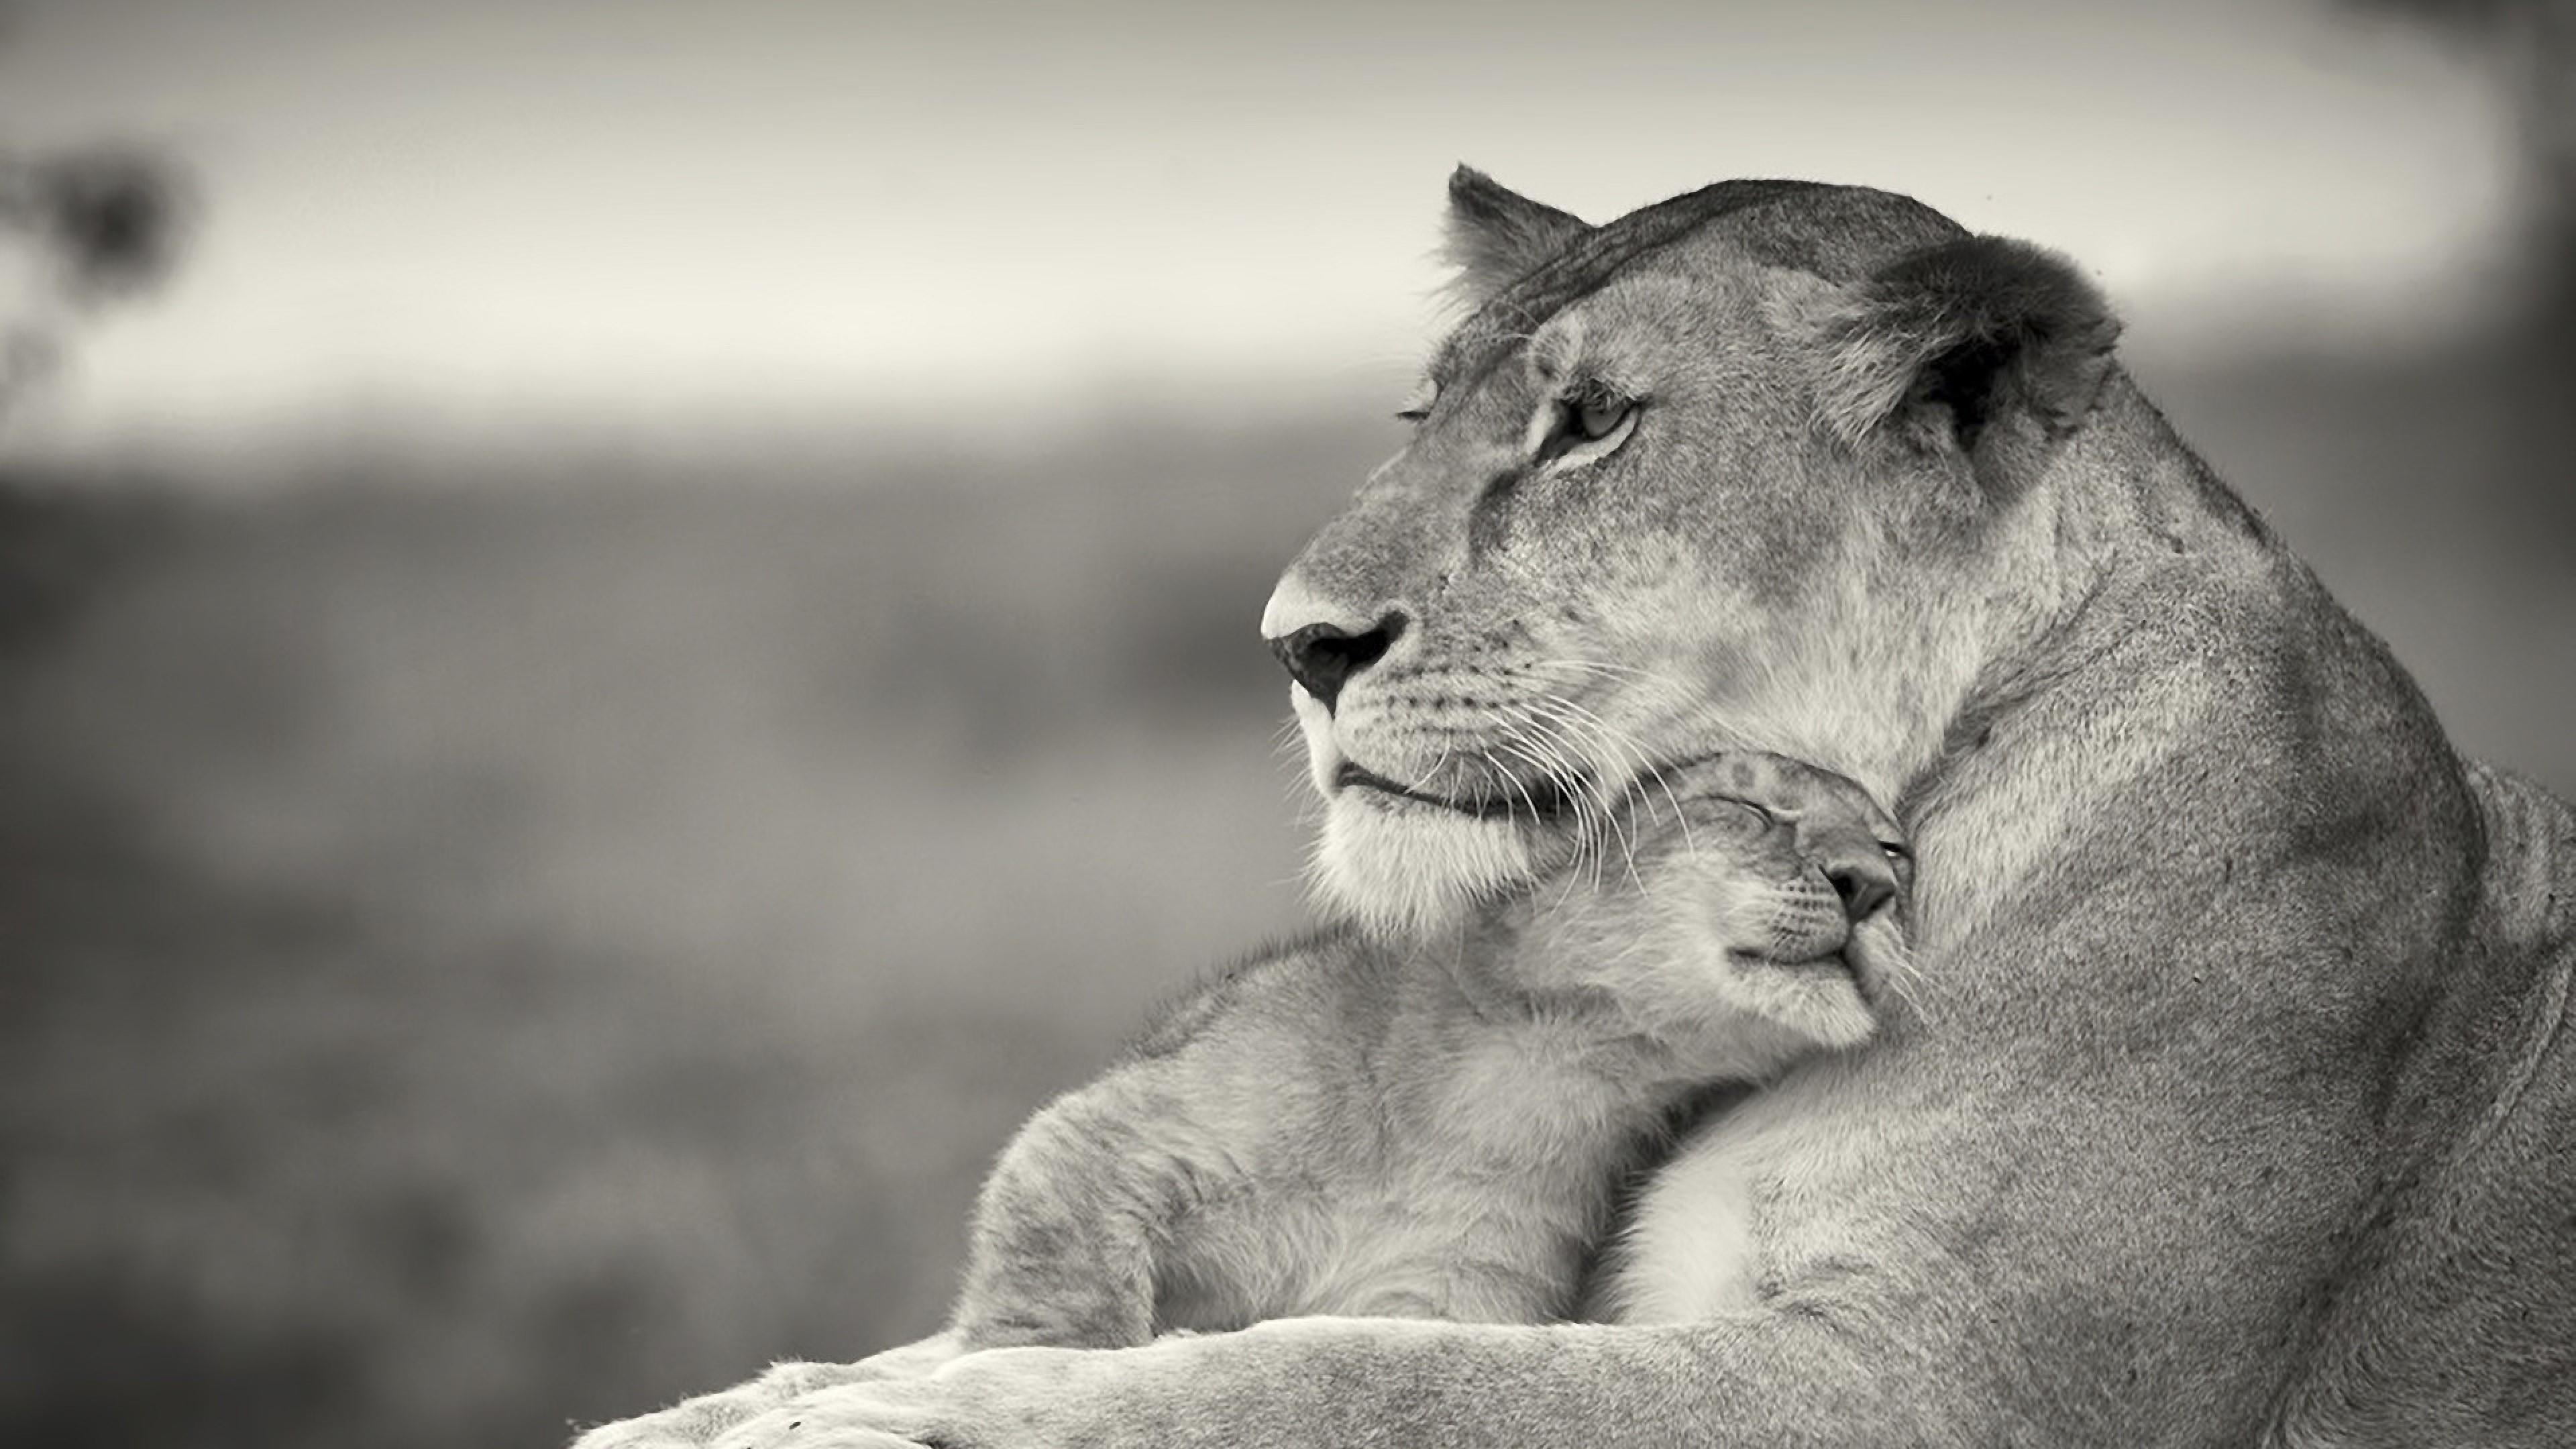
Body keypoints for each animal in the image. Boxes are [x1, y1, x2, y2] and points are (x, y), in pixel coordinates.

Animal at [576, 171, 2576, 1447]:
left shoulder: (1947, 1387)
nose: (1296, 645)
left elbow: (1349, 1383)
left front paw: (940, 1411)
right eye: (1426, 415)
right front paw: (749, 1402)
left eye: (1595, 422)